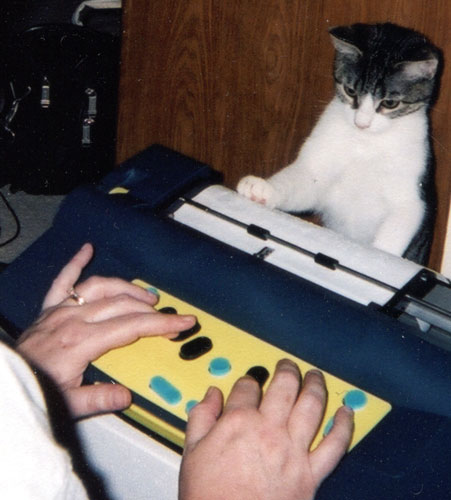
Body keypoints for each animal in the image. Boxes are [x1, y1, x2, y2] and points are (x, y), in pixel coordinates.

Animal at [238, 22, 444, 266]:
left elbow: (396, 229)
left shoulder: (410, 196)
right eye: (350, 90)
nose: (361, 123)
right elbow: (302, 180)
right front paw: (263, 189)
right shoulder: (317, 167)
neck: (366, 144)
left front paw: (377, 262)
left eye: (390, 103)